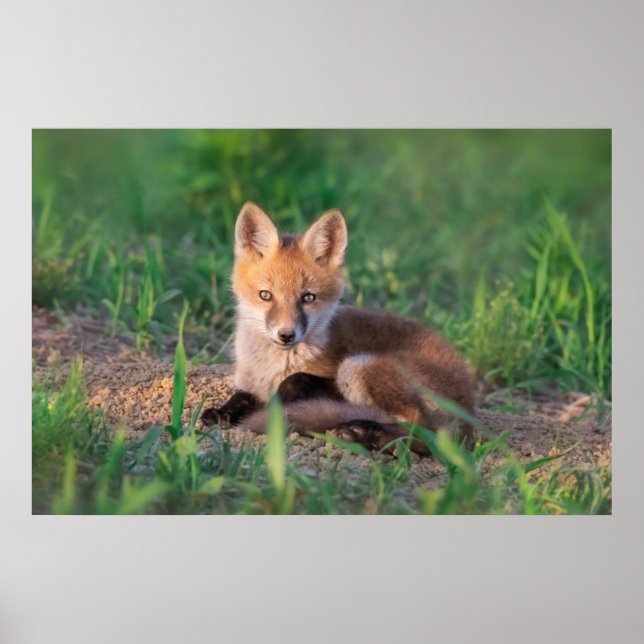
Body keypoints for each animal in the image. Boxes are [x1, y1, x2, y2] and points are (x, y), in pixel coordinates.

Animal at [200, 202, 476, 454]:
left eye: (308, 297)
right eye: (265, 295)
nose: (286, 335)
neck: (271, 367)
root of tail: (469, 408)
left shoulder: (327, 380)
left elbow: (295, 379)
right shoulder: (249, 384)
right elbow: (241, 397)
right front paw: (222, 413)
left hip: (357, 366)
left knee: (427, 435)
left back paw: (366, 433)